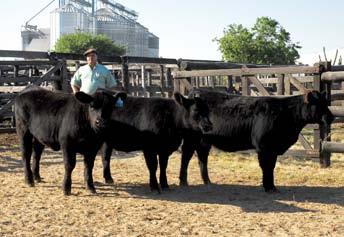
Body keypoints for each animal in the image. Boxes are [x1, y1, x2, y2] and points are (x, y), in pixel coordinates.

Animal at [180, 90, 334, 192]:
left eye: (326, 102)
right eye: (319, 104)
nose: (331, 117)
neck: (285, 114)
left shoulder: (273, 149)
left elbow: (271, 166)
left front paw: (271, 186)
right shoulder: (264, 147)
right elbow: (267, 167)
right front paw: (268, 187)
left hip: (204, 141)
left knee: (202, 158)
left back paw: (207, 182)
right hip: (191, 139)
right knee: (186, 156)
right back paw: (183, 181)